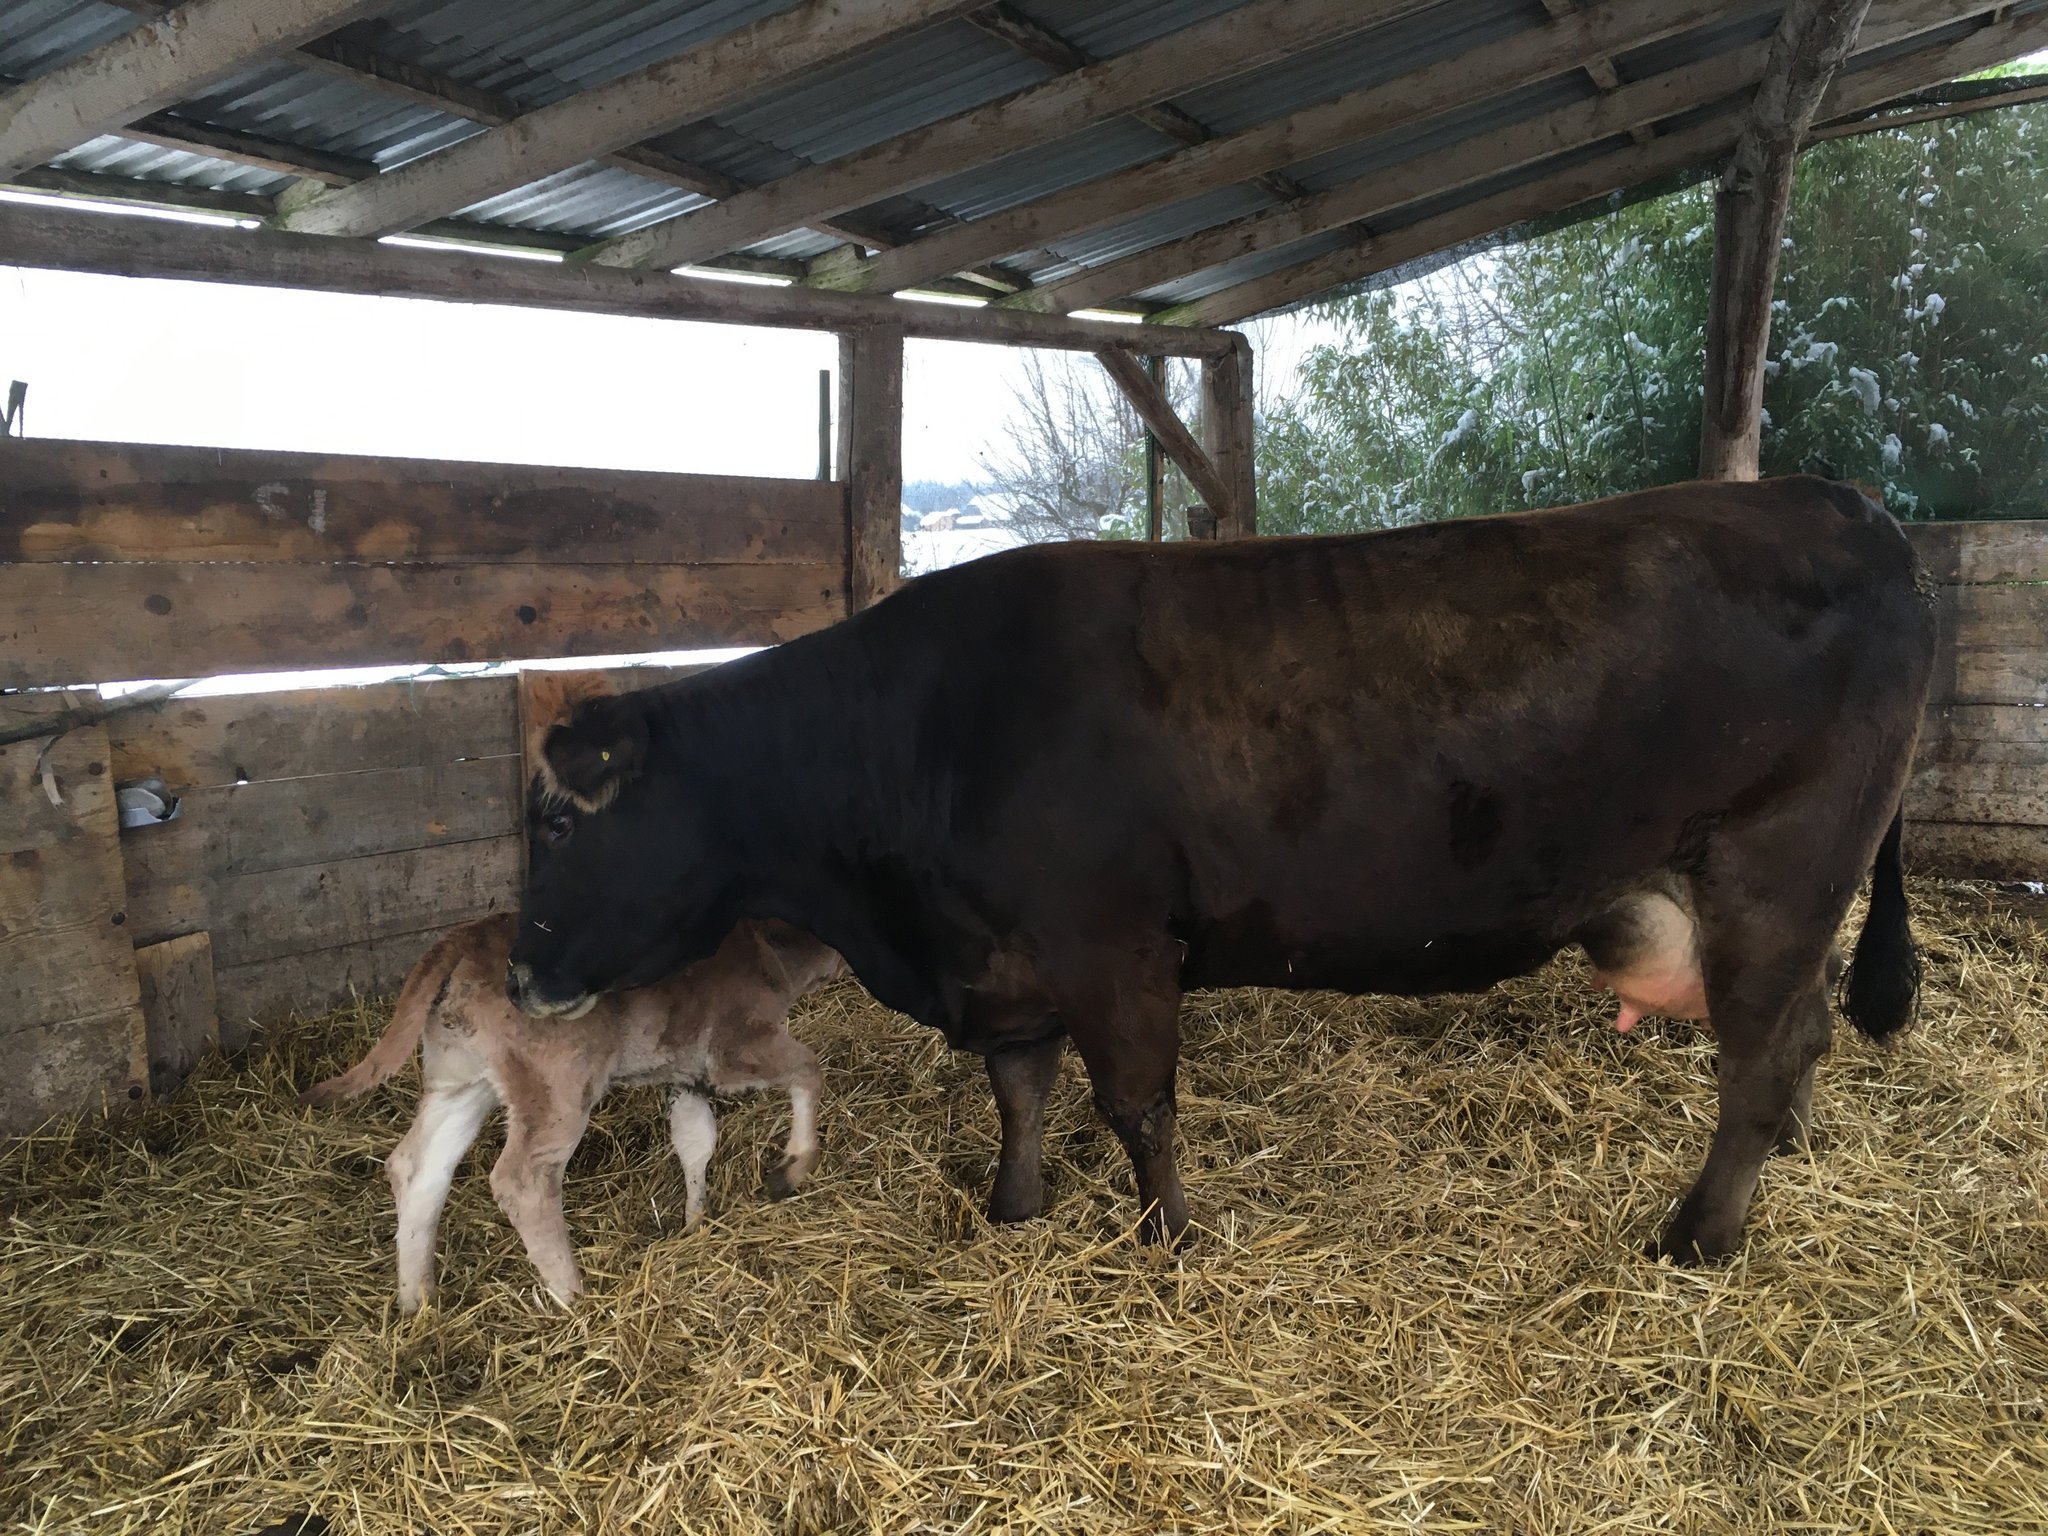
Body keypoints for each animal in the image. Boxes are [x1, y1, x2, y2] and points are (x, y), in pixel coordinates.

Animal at [303, 912, 843, 1310]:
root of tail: (467, 936)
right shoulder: (733, 1048)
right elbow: (808, 1070)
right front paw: (791, 1169)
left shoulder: (683, 1073)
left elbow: (695, 1140)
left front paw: (694, 1222)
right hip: (556, 1086)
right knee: (521, 1180)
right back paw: (574, 1297)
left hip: (462, 1078)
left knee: (418, 1168)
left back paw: (419, 1300)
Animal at [505, 476, 1935, 1264]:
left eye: (558, 825)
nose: (519, 973)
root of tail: (1835, 500)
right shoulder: (1008, 961)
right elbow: (1018, 1091)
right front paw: (1014, 1209)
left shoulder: (1113, 947)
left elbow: (1136, 1105)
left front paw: (1169, 1241)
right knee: (1798, 1040)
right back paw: (1784, 1163)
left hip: (1772, 868)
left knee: (1758, 1059)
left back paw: (1698, 1237)